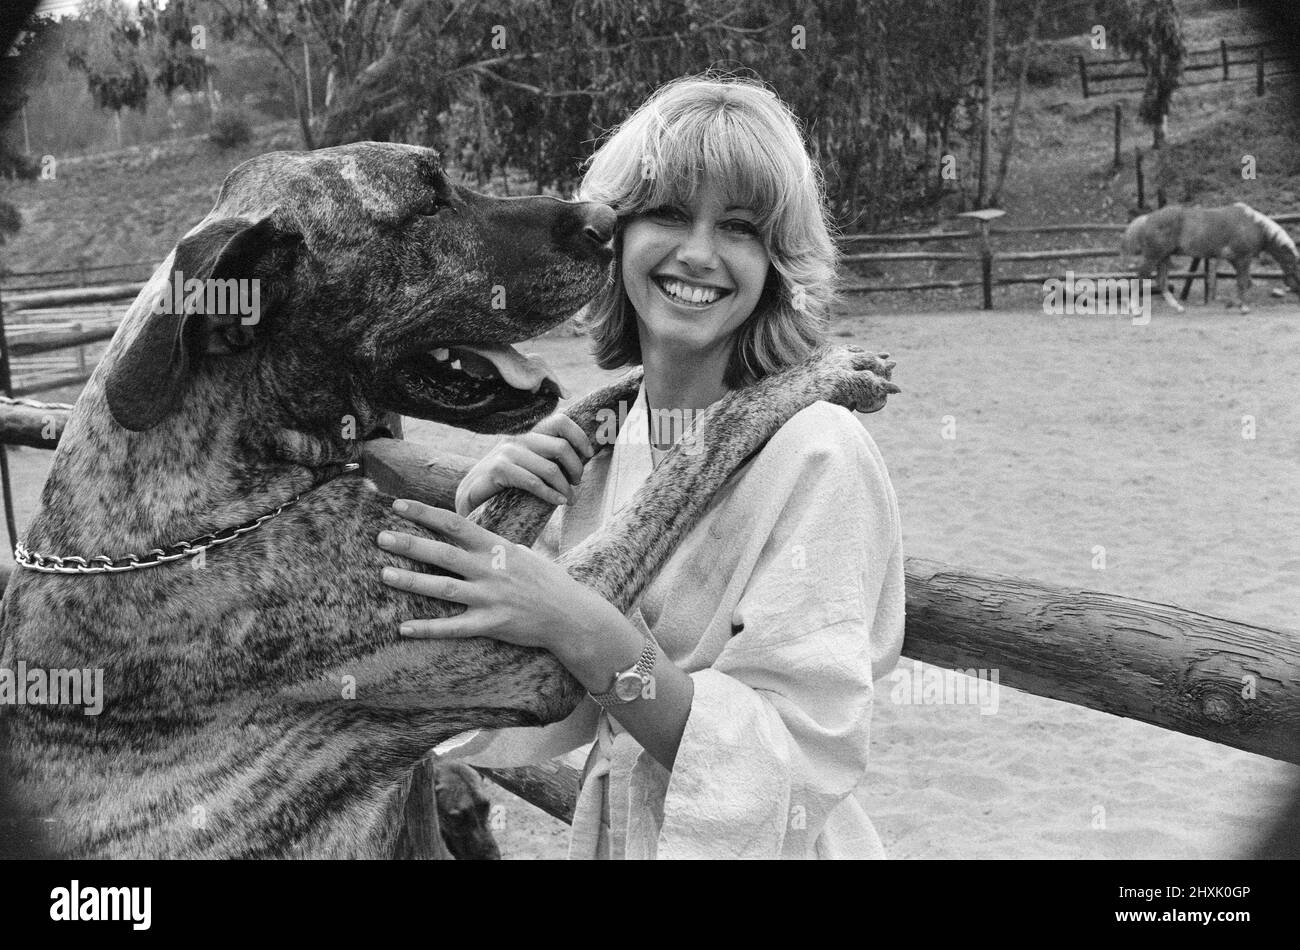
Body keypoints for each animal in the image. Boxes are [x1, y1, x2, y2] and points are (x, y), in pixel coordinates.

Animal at [0, 142, 894, 862]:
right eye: (427, 202)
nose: (607, 218)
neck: (209, 506)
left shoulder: (452, 556)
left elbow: (536, 480)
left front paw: (603, 408)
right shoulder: (522, 645)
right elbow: (702, 444)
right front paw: (813, 374)